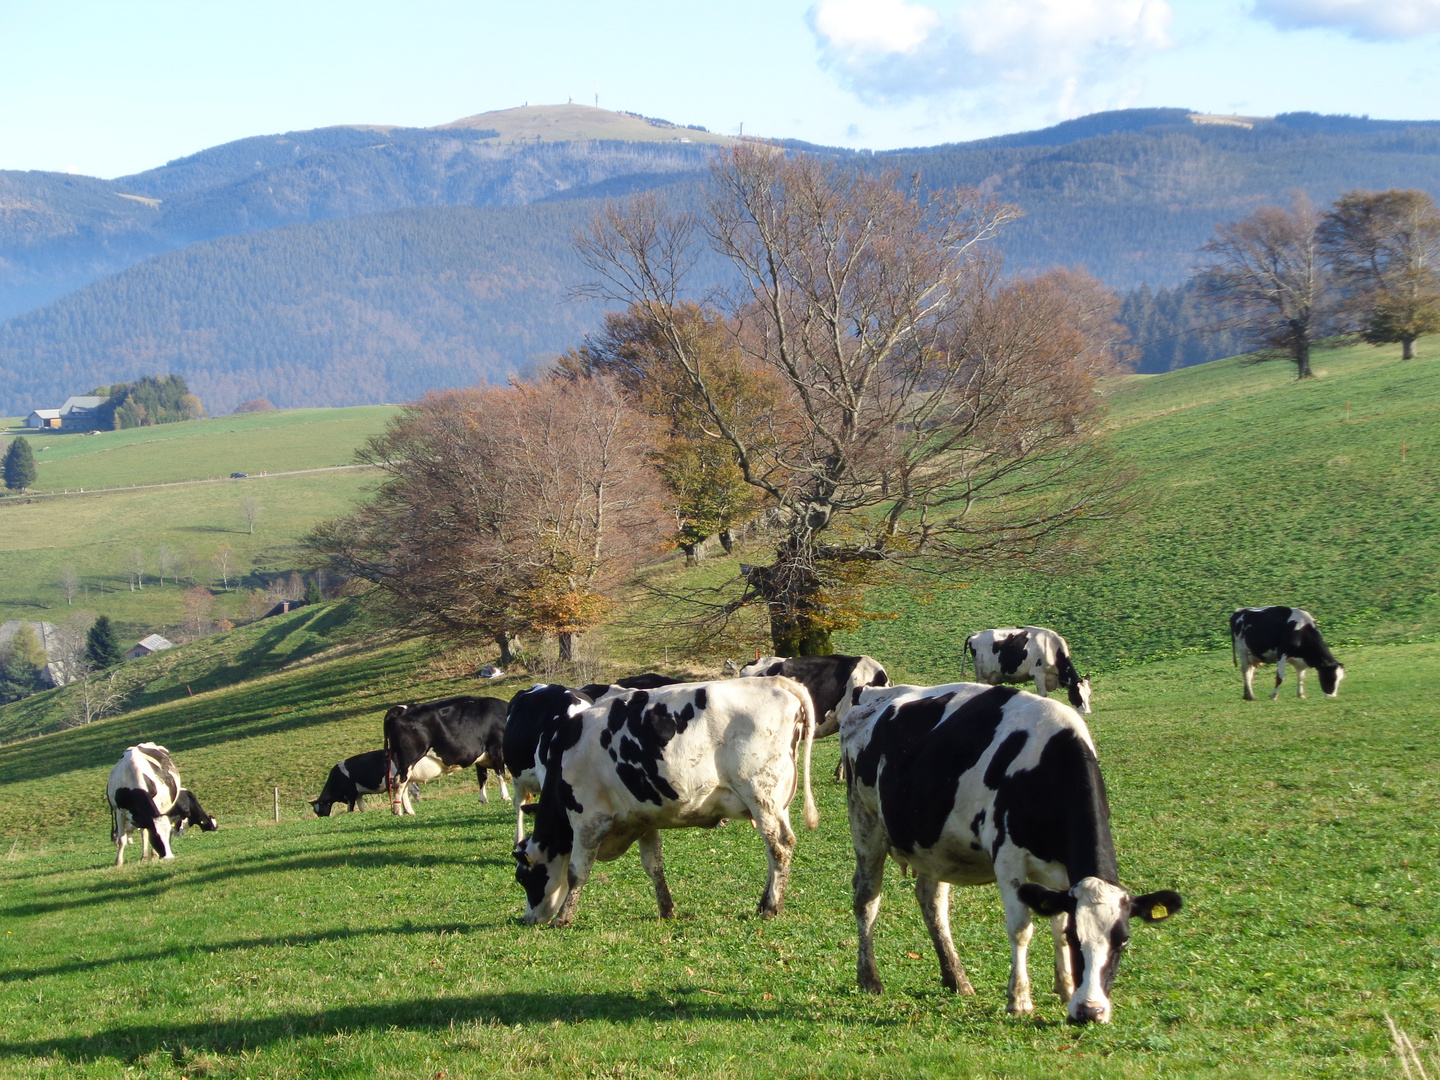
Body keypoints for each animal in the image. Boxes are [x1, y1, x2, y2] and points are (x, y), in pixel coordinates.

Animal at [383, 696, 512, 817]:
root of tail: (400, 709)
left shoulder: (481, 758)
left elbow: (482, 778)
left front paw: (483, 799)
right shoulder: (497, 750)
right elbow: (501, 774)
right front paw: (505, 796)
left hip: (401, 762)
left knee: (404, 784)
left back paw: (408, 811)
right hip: (408, 760)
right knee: (399, 781)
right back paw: (398, 811)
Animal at [512, 679, 817, 927]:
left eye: (523, 878)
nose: (529, 919)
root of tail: (776, 680)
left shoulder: (587, 820)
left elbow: (577, 872)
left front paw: (563, 917)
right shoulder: (643, 819)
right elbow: (653, 865)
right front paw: (666, 909)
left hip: (761, 793)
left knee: (779, 847)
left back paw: (772, 908)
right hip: (776, 803)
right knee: (774, 850)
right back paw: (763, 902)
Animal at [840, 679, 1175, 1025]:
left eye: (1123, 941)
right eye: (1076, 938)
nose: (1090, 1011)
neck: (1047, 764)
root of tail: (872, 692)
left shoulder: (1060, 871)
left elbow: (1055, 923)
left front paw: (1066, 988)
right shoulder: (1008, 858)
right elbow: (1021, 928)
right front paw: (1019, 1000)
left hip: (934, 845)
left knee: (932, 904)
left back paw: (956, 978)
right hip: (865, 823)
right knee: (867, 899)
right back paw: (869, 979)